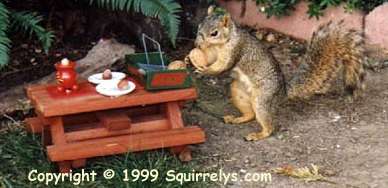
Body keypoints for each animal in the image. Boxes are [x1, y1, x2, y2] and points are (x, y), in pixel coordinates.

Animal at [189, 6, 366, 141]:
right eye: (198, 27)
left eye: (214, 33)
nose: (197, 43)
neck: (223, 42)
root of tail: (283, 92)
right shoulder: (213, 52)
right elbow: (211, 58)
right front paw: (195, 57)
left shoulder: (235, 50)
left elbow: (223, 65)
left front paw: (204, 70)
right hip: (238, 91)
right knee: (250, 114)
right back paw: (237, 118)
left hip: (262, 99)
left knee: (268, 125)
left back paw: (258, 135)